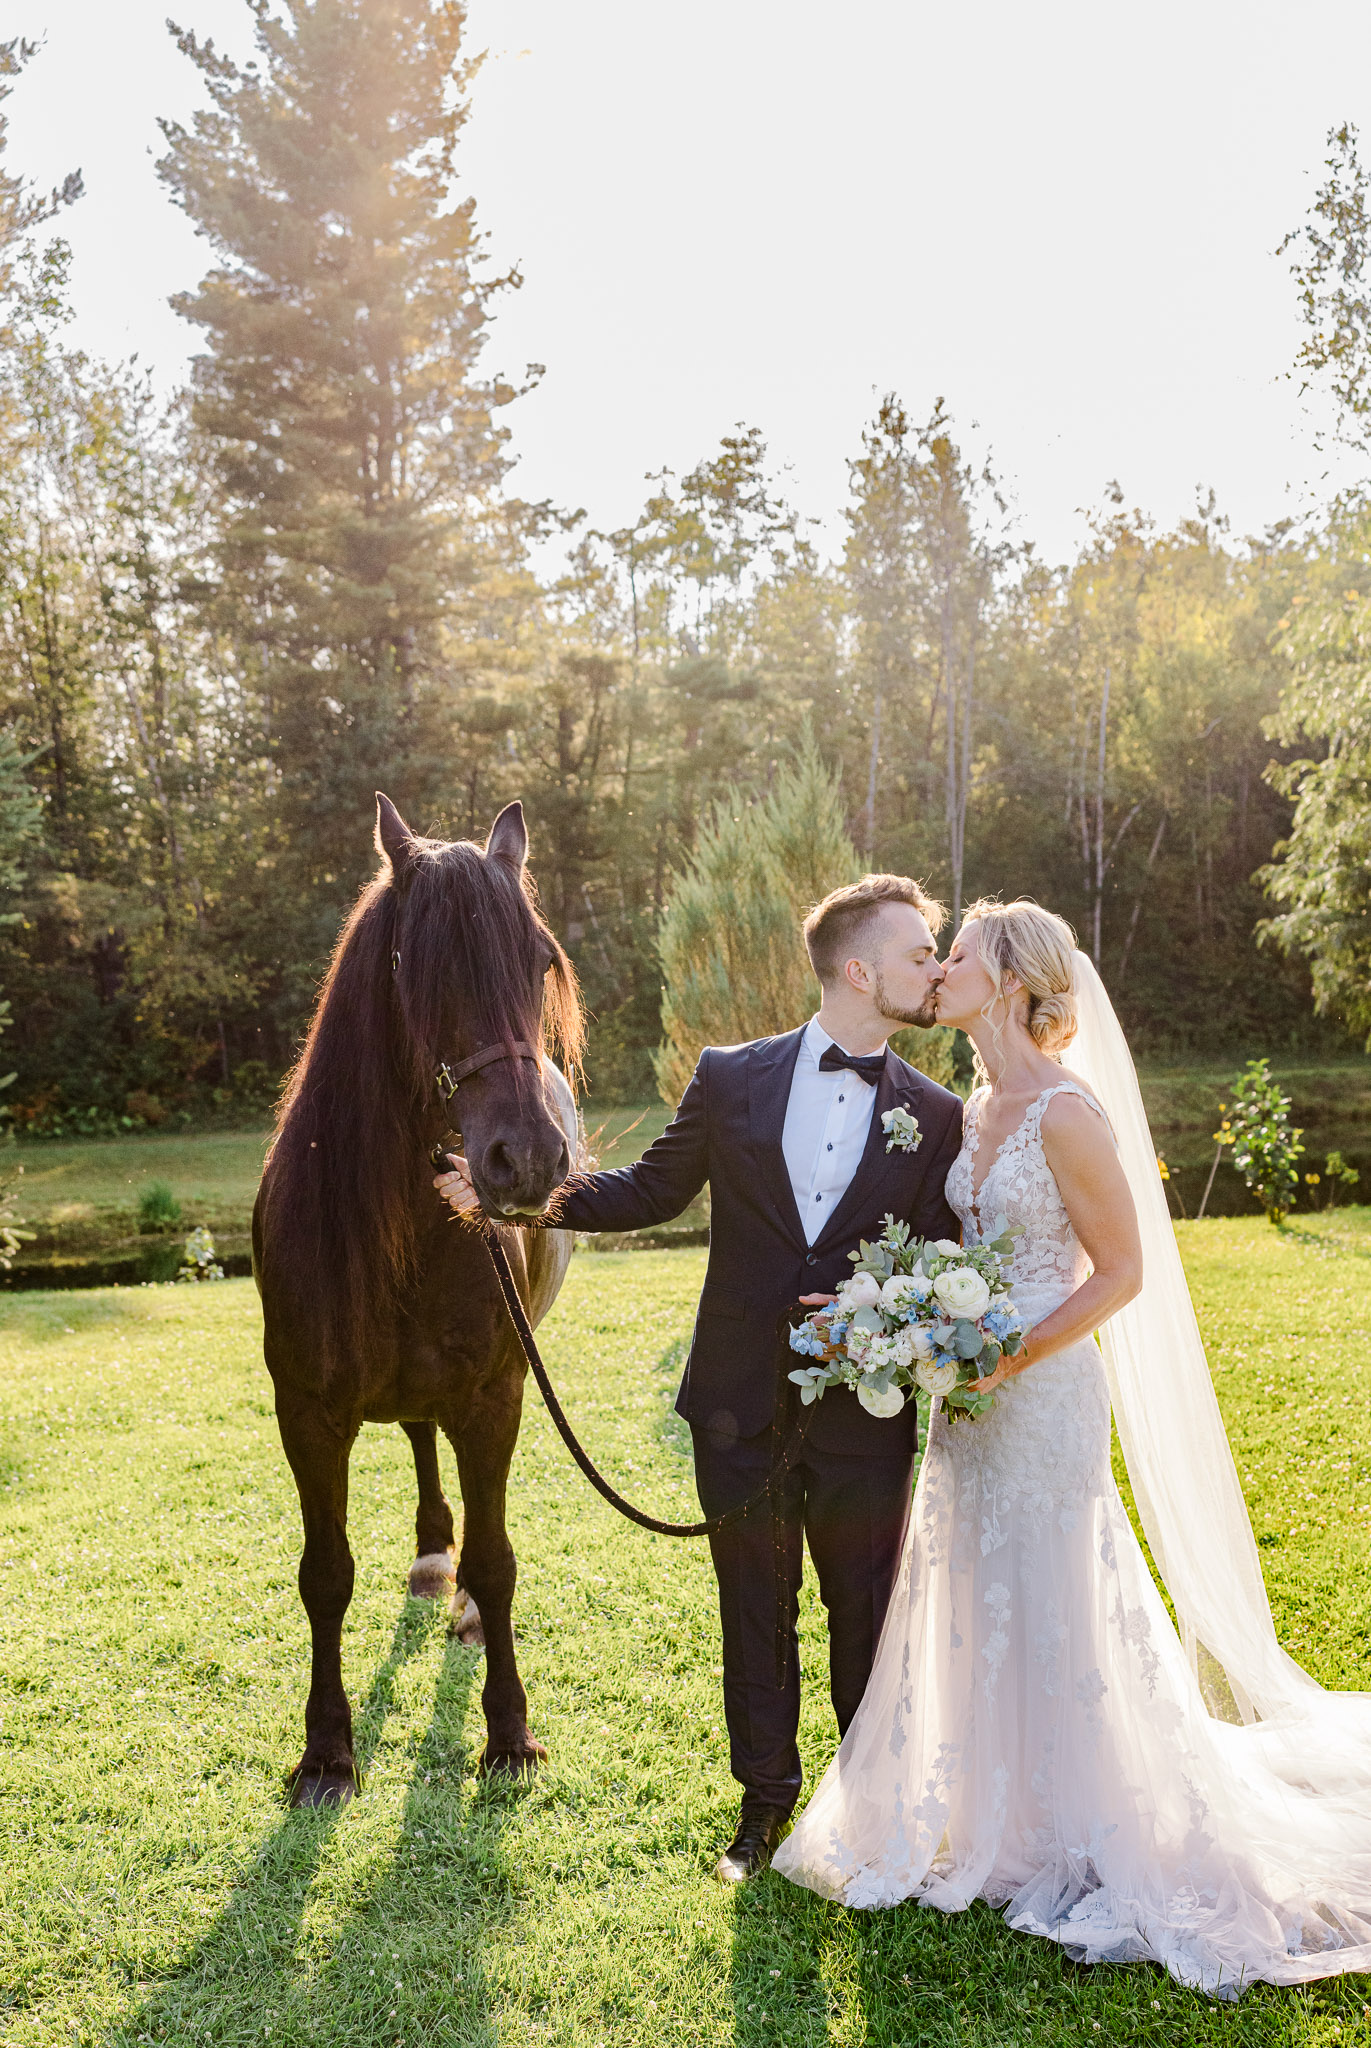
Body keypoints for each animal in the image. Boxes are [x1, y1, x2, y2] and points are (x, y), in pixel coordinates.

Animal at [254, 790, 582, 1802]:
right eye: (420, 966)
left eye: (539, 960)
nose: (527, 1159)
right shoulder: (306, 1412)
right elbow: (324, 1575)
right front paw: (326, 1750)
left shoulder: (496, 1397)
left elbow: (499, 1559)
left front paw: (508, 1732)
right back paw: (433, 1557)